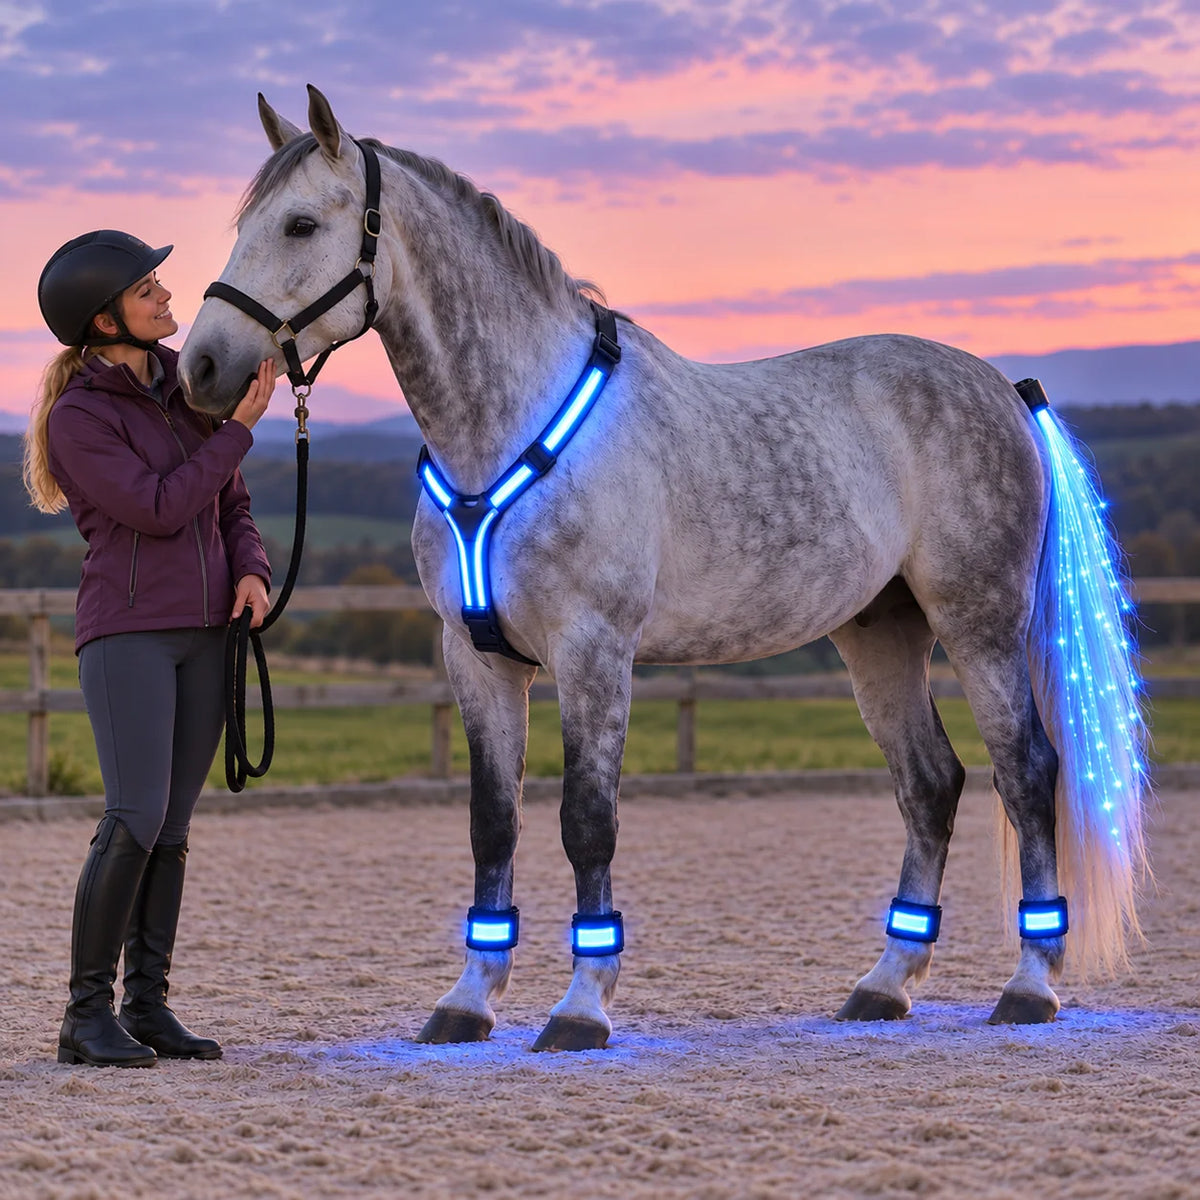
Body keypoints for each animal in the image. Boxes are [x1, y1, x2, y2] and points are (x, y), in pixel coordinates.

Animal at [180, 86, 1148, 1051]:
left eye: (302, 223)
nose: (202, 367)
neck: (509, 424)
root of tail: (1003, 388)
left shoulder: (594, 654)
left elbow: (586, 822)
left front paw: (581, 1008)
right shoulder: (479, 660)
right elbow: (493, 824)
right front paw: (467, 1003)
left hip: (979, 624)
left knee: (1027, 773)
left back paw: (1029, 987)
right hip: (880, 635)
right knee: (930, 782)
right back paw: (883, 986)